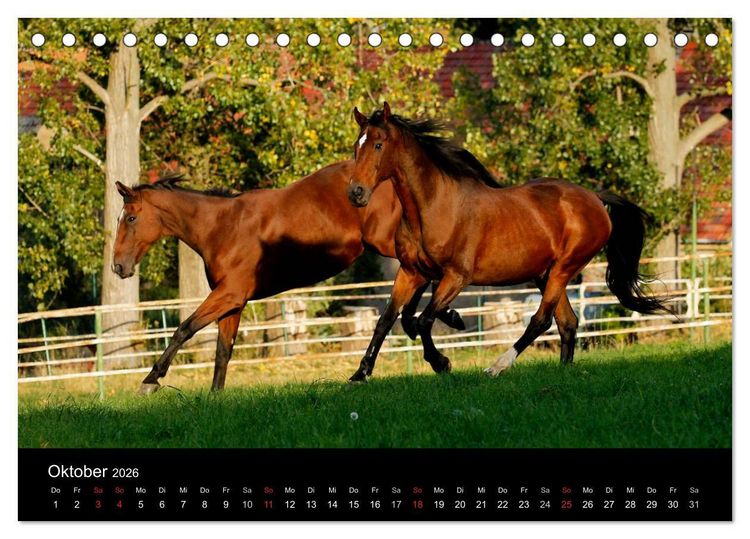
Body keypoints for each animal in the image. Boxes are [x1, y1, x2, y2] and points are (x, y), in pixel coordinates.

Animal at [112, 160, 465, 393]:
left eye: (130, 218)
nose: (118, 266)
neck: (222, 228)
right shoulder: (234, 303)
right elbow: (223, 352)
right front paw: (215, 397)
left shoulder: (228, 294)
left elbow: (184, 329)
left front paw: (151, 380)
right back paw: (434, 334)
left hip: (387, 242)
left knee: (425, 273)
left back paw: (439, 331)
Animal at [345, 103, 670, 382]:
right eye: (356, 146)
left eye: (378, 145)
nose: (356, 193)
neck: (432, 207)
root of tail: (594, 198)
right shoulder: (412, 272)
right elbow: (389, 319)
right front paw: (360, 374)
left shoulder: (456, 277)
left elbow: (423, 320)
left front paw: (442, 361)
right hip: (545, 274)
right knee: (567, 322)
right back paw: (563, 371)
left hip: (564, 268)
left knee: (542, 320)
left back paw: (497, 366)